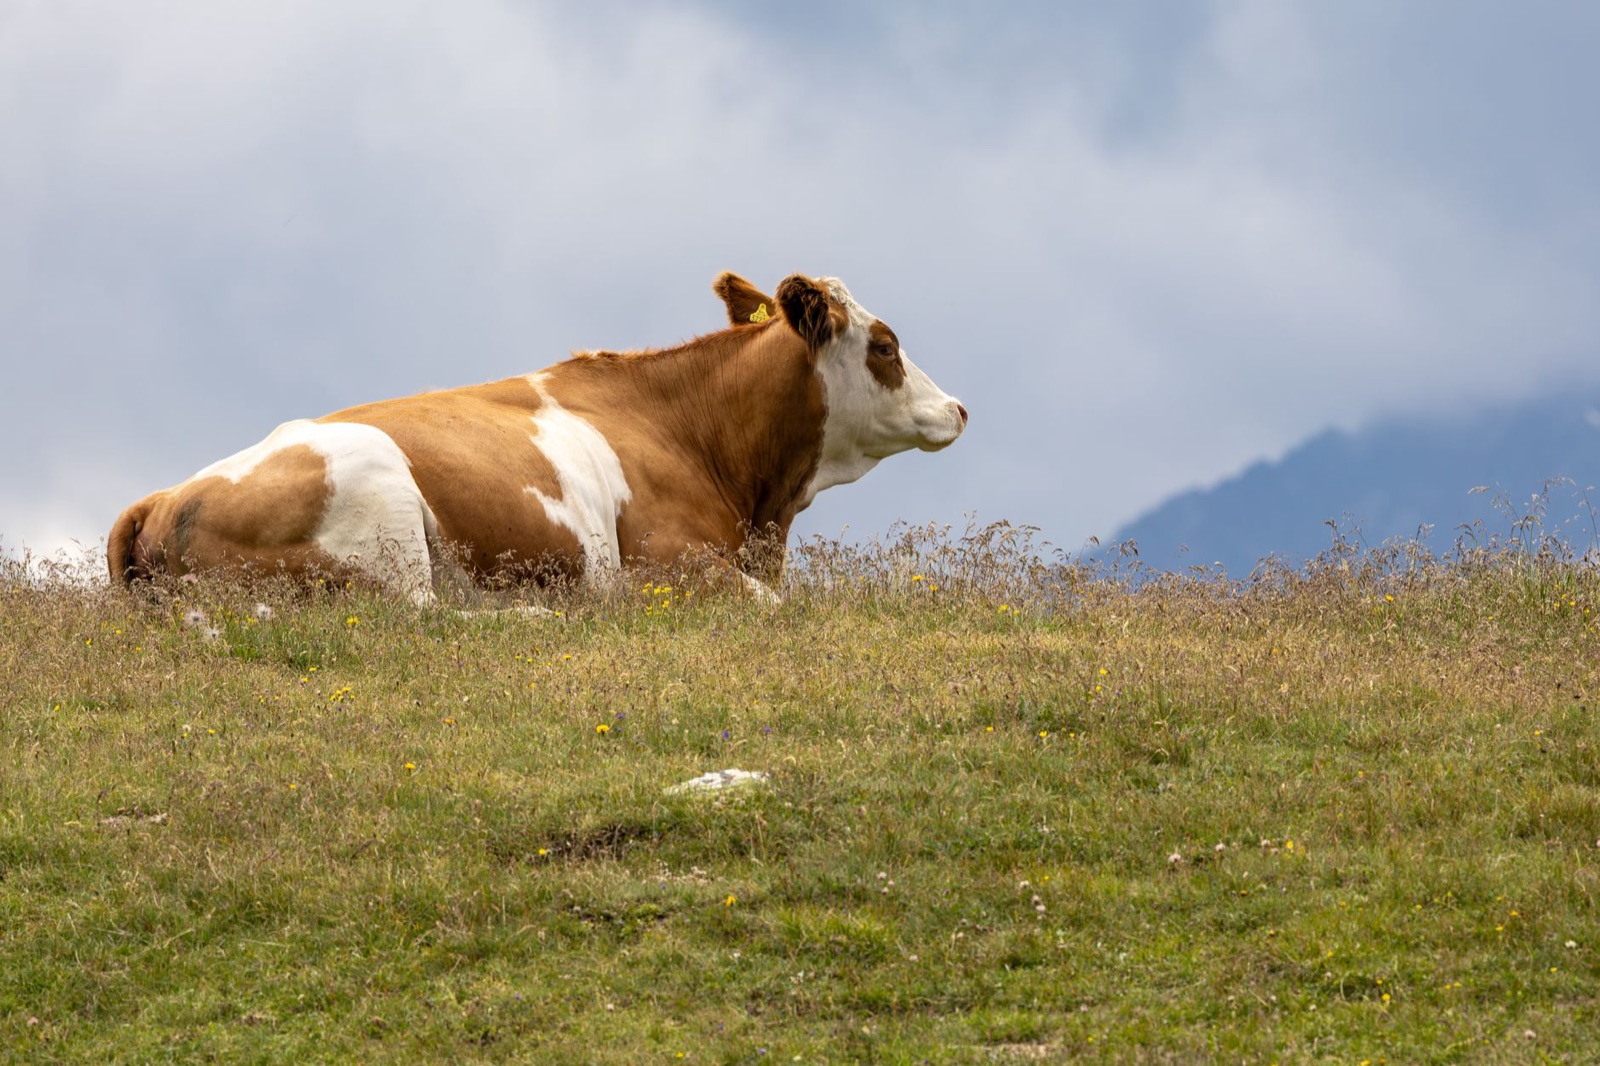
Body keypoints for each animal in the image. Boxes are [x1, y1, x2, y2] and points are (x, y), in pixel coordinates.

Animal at [106, 272, 968, 602]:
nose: (958, 408)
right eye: (885, 344)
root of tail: (163, 498)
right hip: (379, 513)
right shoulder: (670, 566)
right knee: (416, 614)